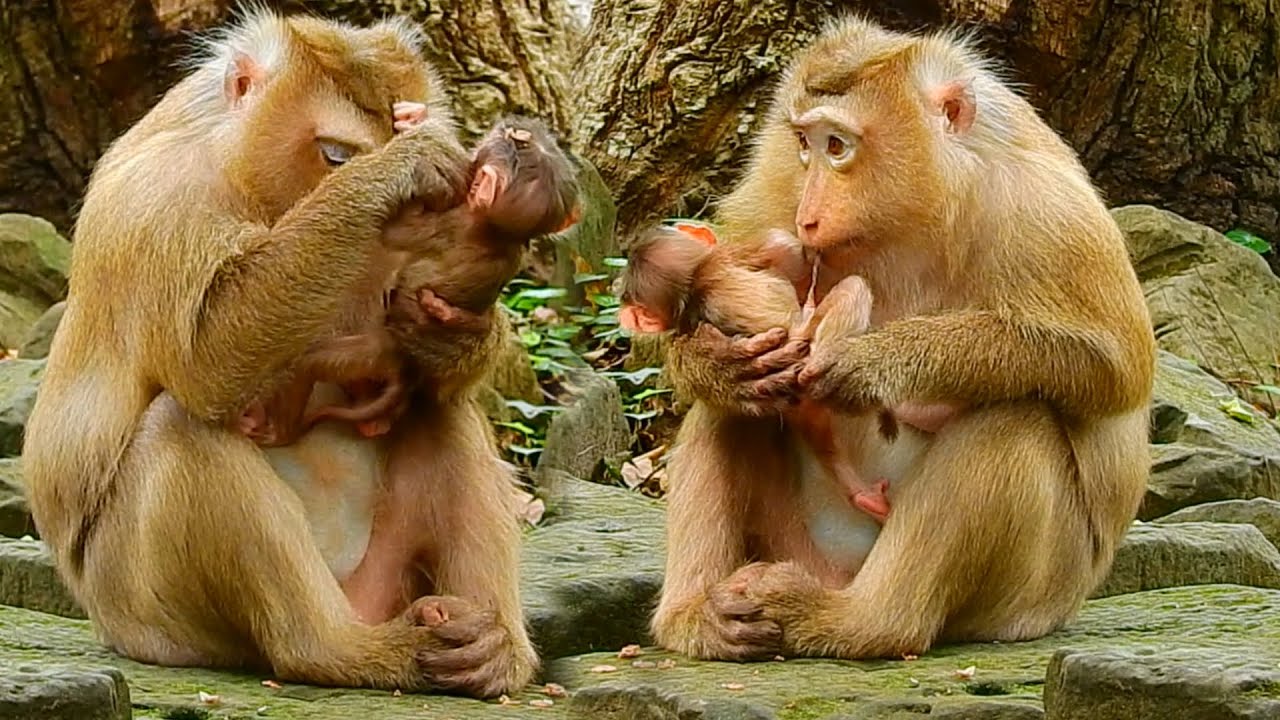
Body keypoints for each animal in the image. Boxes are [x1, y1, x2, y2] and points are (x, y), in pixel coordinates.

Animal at [22, 9, 538, 698]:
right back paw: (335, 651)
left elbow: (426, 365)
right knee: (183, 429)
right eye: (336, 154)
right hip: (146, 612)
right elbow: (211, 355)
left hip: (388, 579)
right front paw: (388, 175)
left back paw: (490, 648)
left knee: (439, 409)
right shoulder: (158, 201)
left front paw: (450, 335)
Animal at [235, 112, 580, 447]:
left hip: (370, 354)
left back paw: (280, 430)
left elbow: (393, 230)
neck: (495, 232)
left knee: (308, 364)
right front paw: (414, 120)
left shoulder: (447, 223)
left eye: (518, 141)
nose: (514, 122)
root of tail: (407, 370)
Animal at [649, 16, 1156, 663]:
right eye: (805, 143)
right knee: (735, 408)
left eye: (838, 146)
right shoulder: (776, 173)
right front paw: (713, 363)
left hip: (1028, 599)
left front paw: (875, 362)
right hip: (797, 541)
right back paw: (697, 615)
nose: (808, 215)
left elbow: (1116, 369)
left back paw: (862, 622)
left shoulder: (1044, 208)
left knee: (1015, 416)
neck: (913, 213)